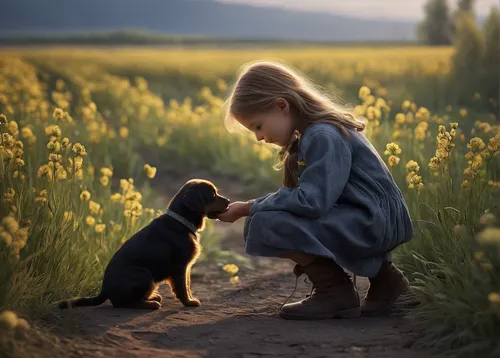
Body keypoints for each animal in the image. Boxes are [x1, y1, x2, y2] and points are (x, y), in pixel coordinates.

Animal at [57, 179, 229, 310]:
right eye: (212, 195)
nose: (228, 200)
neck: (181, 221)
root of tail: (104, 290)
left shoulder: (185, 268)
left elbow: (187, 284)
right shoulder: (180, 266)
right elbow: (182, 287)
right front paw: (189, 302)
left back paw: (152, 297)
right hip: (144, 275)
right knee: (124, 303)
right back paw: (150, 304)